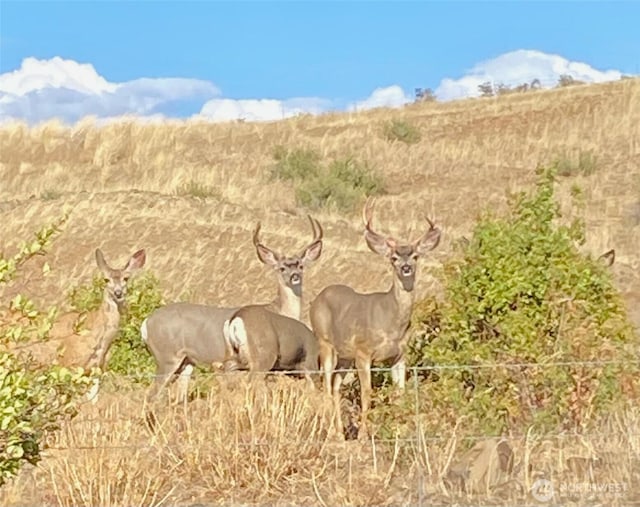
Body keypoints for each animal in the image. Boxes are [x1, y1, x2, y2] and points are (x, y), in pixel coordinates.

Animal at [139, 216, 320, 406]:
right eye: (281, 268)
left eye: (301, 266)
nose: (294, 277)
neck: (279, 309)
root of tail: (146, 323)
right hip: (168, 357)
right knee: (154, 393)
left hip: (186, 362)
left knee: (178, 396)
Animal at [310, 198, 440, 440]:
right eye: (393, 258)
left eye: (415, 256)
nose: (406, 268)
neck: (391, 323)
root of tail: (318, 298)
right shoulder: (363, 352)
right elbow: (367, 392)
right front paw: (363, 435)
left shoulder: (399, 355)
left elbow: (400, 392)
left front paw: (400, 430)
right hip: (325, 343)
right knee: (326, 384)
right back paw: (332, 433)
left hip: (345, 356)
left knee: (335, 385)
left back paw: (340, 433)